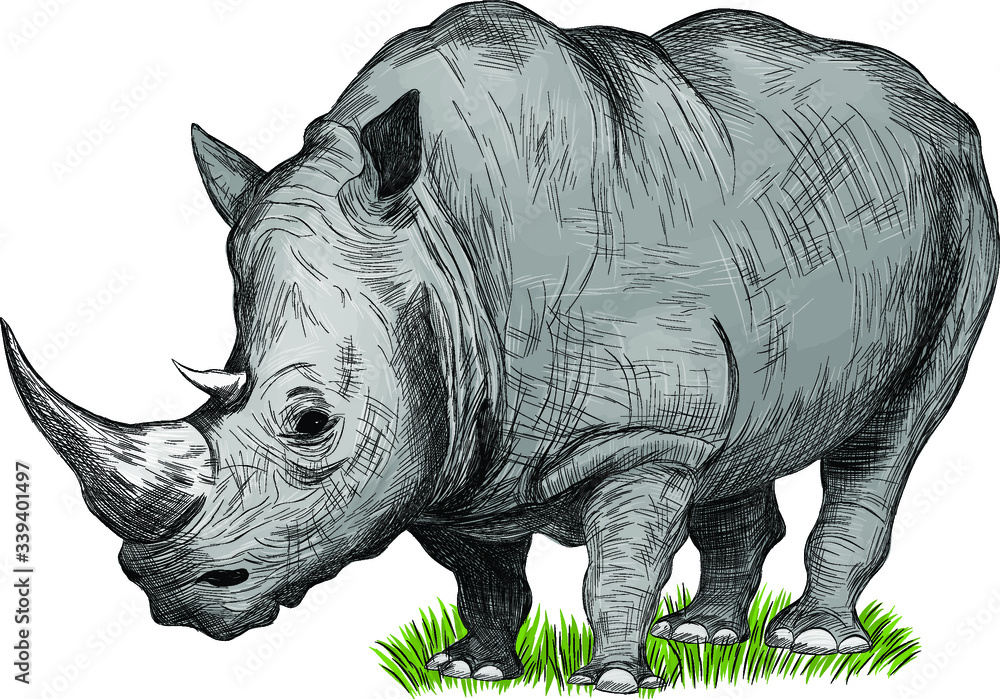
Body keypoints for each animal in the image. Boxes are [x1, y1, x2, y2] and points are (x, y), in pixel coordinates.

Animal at [4, 2, 997, 693]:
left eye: (312, 421)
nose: (171, 594)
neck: (439, 242)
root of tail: (936, 100)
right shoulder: (449, 444)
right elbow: (482, 572)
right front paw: (473, 667)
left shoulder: (648, 430)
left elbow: (622, 559)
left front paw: (615, 678)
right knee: (749, 436)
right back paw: (706, 636)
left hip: (962, 201)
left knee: (891, 432)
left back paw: (812, 642)